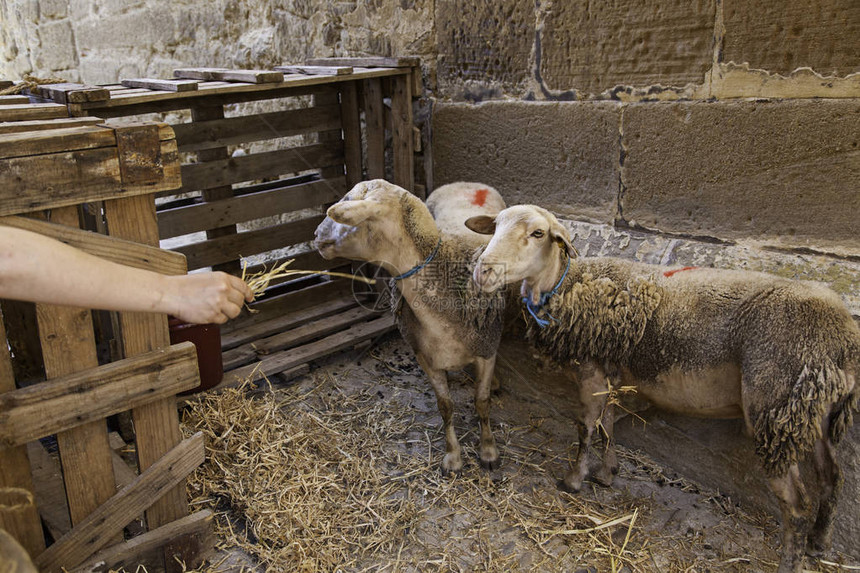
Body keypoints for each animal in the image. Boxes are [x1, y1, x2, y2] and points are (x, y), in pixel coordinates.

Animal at [314, 180, 504, 474]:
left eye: (347, 200)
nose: (315, 235)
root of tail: (467, 184)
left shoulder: (486, 351)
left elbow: (482, 402)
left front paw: (488, 450)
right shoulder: (425, 357)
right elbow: (445, 406)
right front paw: (453, 456)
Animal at [466, 206, 856, 572]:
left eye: (538, 233)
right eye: (495, 226)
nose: (482, 272)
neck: (566, 284)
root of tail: (844, 339)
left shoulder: (591, 369)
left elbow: (587, 426)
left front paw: (574, 480)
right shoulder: (610, 370)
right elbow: (608, 424)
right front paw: (607, 473)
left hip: (775, 410)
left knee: (798, 506)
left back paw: (792, 561)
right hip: (813, 412)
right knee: (832, 478)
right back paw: (819, 543)